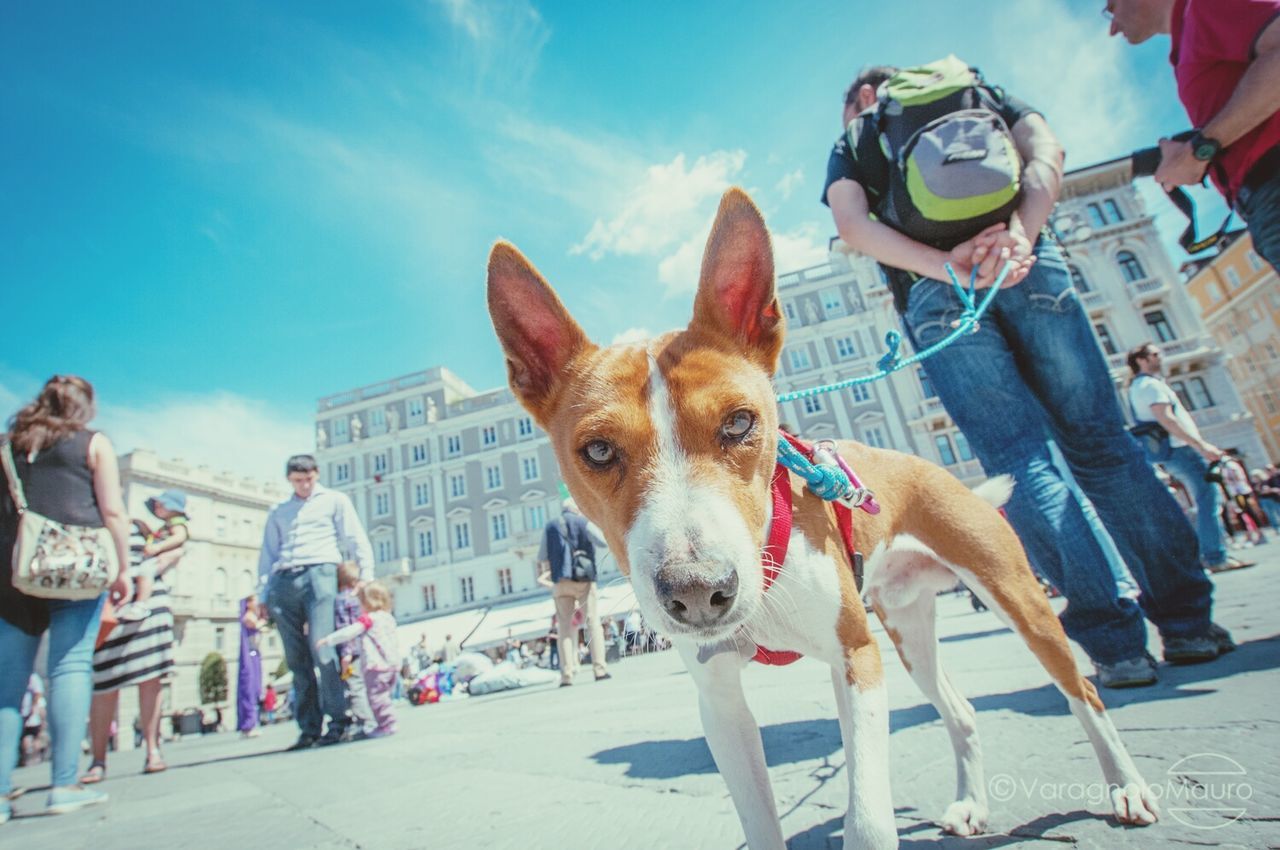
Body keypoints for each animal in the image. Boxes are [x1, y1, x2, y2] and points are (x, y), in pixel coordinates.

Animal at [481, 189, 1162, 844]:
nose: (699, 591)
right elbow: (760, 825)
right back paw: (972, 804)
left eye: (740, 422)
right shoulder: (719, 701)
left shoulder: (857, 658)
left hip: (1016, 599)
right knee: (961, 711)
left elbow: (868, 821)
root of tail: (929, 465)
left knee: (1083, 691)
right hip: (906, 625)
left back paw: (1127, 786)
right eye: (598, 451)